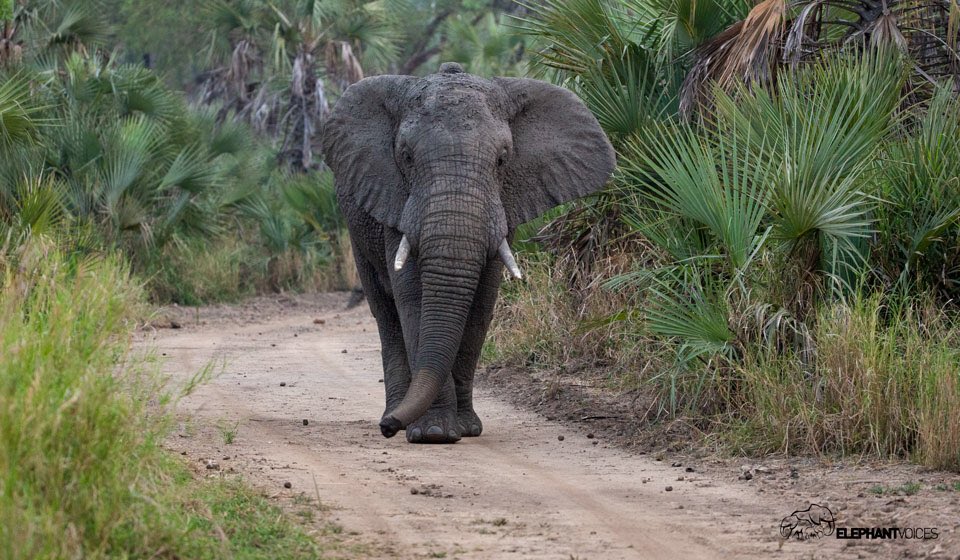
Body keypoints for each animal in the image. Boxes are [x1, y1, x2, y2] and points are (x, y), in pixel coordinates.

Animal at [321, 62, 615, 443]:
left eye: (503, 160)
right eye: (406, 157)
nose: (388, 429)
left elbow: (480, 305)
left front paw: (465, 429)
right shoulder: (396, 202)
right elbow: (414, 299)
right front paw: (433, 433)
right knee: (385, 312)